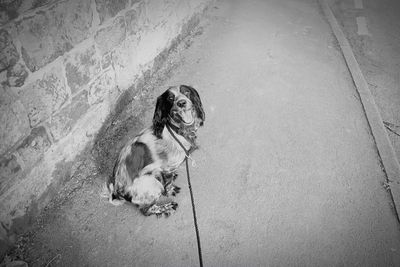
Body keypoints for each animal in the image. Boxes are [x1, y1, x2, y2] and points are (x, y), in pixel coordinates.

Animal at [101, 86, 205, 218]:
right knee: (146, 210)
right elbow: (167, 183)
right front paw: (170, 190)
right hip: (152, 184)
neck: (176, 131)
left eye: (186, 92)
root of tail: (116, 192)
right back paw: (166, 207)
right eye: (170, 98)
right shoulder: (165, 168)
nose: (181, 103)